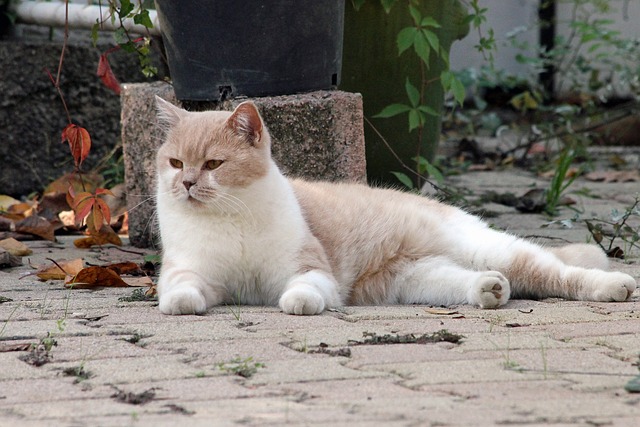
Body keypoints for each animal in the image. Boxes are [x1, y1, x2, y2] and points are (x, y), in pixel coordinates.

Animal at [154, 98, 636, 318]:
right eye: (176, 163)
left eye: (213, 164)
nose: (187, 183)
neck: (229, 220)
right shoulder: (190, 269)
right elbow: (181, 287)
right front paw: (181, 303)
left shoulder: (312, 269)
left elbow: (303, 288)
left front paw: (297, 302)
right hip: (416, 280)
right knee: (479, 282)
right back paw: (489, 290)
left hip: (491, 249)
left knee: (558, 273)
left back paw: (613, 286)